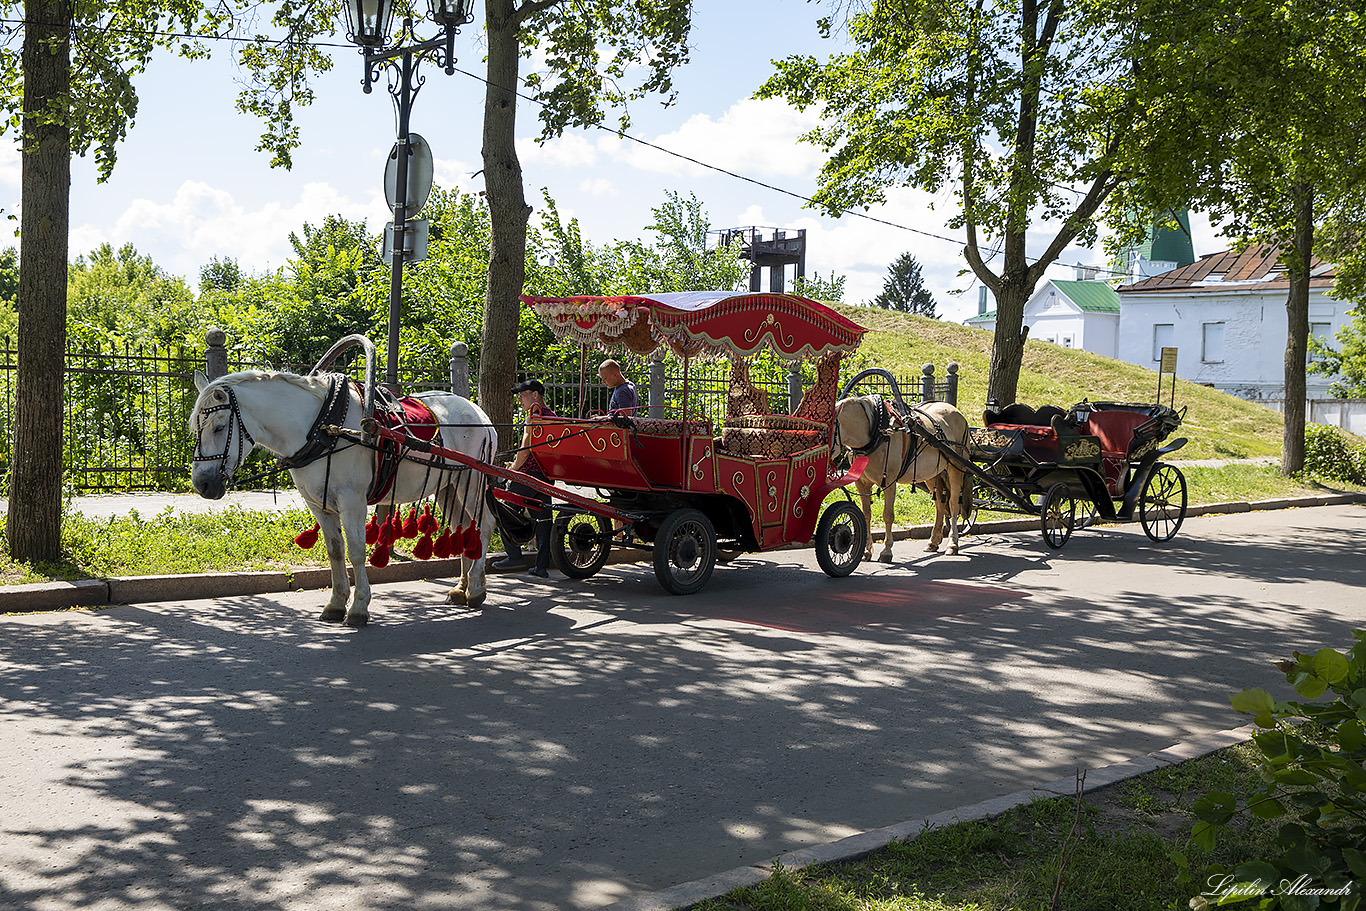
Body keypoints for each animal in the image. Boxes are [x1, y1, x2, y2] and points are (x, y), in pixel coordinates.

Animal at [187, 371, 497, 628]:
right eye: (196, 429)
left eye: (218, 427)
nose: (203, 484)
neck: (322, 428)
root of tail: (479, 413)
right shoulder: (318, 505)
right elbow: (335, 552)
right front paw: (336, 604)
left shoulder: (352, 502)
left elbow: (357, 552)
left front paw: (359, 607)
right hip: (449, 486)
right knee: (462, 529)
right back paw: (462, 587)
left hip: (472, 482)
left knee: (485, 525)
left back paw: (476, 588)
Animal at [830, 396, 972, 562]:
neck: (877, 431)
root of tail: (956, 411)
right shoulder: (862, 483)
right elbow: (866, 515)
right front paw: (866, 550)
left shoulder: (889, 482)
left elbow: (888, 515)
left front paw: (886, 550)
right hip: (932, 474)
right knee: (940, 505)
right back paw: (933, 542)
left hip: (956, 467)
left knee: (954, 504)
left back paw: (952, 544)